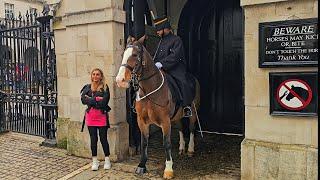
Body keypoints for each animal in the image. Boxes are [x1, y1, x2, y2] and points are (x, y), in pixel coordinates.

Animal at [115, 35, 200, 179]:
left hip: (193, 112)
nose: (119, 80)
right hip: (177, 116)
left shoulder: (165, 121)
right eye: (123, 54)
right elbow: (144, 142)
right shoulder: (142, 121)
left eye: (135, 54)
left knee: (192, 129)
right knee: (181, 128)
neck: (150, 89)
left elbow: (167, 143)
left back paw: (190, 149)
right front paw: (141, 165)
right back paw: (182, 147)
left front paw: (168, 169)